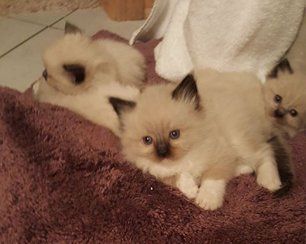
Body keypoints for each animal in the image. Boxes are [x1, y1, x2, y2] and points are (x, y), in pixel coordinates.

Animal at [110, 73, 290, 211]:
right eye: (147, 140)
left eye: (174, 134)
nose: (162, 152)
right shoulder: (157, 171)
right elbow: (178, 176)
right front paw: (191, 190)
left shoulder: (221, 155)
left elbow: (212, 179)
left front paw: (206, 200)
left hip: (240, 141)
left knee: (265, 151)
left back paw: (270, 182)